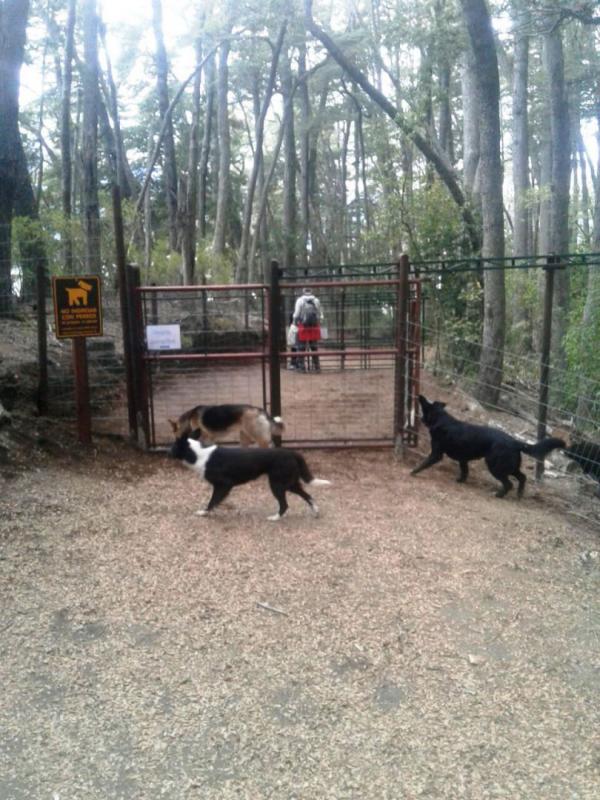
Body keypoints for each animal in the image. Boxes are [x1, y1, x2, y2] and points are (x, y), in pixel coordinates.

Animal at [169, 434, 332, 520]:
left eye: (173, 446)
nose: (167, 451)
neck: (198, 454)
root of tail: (292, 452)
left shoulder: (223, 485)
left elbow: (212, 501)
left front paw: (205, 512)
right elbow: (215, 501)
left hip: (277, 484)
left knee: (285, 504)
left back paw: (275, 518)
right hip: (290, 483)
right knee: (308, 495)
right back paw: (315, 511)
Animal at [410, 392, 564, 494]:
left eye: (423, 412)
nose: (421, 419)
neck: (441, 419)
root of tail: (515, 442)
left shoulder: (436, 454)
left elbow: (424, 463)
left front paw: (413, 471)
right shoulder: (463, 459)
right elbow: (464, 471)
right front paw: (461, 480)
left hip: (495, 465)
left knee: (509, 484)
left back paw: (499, 494)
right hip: (509, 466)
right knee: (522, 477)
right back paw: (519, 494)